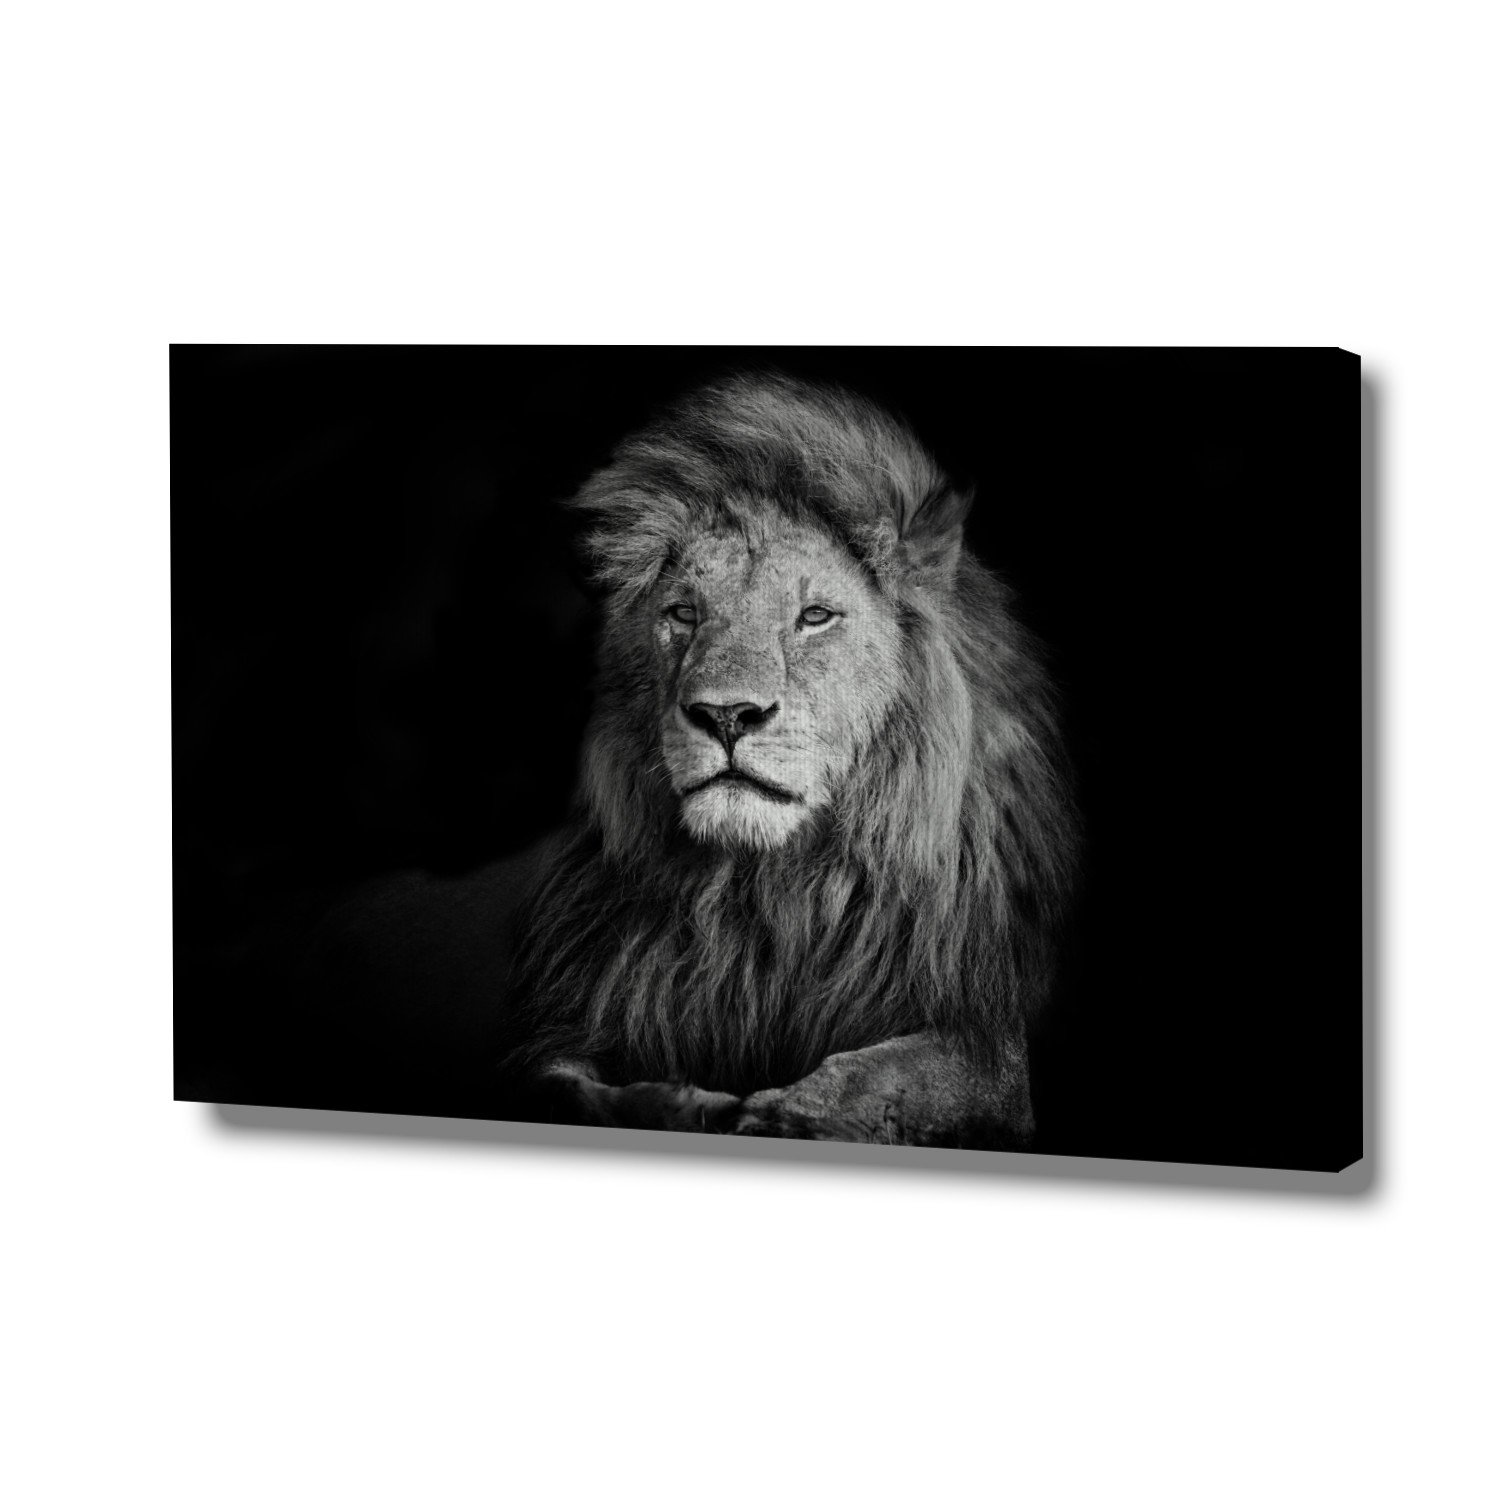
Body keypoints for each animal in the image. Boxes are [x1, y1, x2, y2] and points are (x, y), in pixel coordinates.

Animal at [502, 371, 1079, 1148]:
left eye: (815, 617)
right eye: (683, 613)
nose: (725, 715)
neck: (765, 895)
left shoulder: (990, 1046)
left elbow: (886, 1071)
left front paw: (784, 1114)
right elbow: (559, 1088)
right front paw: (678, 1106)